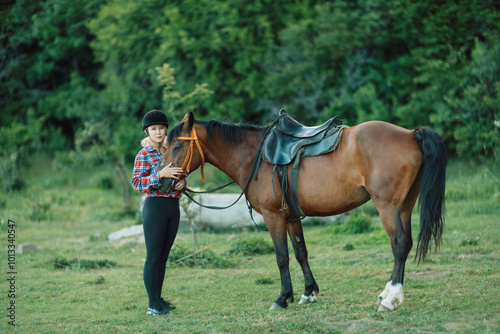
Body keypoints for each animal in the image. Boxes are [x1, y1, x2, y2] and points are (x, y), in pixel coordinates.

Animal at [163, 111, 446, 310]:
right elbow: (301, 253)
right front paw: (308, 292)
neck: (255, 156)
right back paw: (387, 293)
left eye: (177, 147)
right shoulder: (291, 217)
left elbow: (282, 257)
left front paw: (282, 298)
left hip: (387, 206)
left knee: (399, 243)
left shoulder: (273, 217)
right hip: (404, 207)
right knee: (406, 243)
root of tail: (410, 134)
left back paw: (390, 299)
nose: (164, 181)